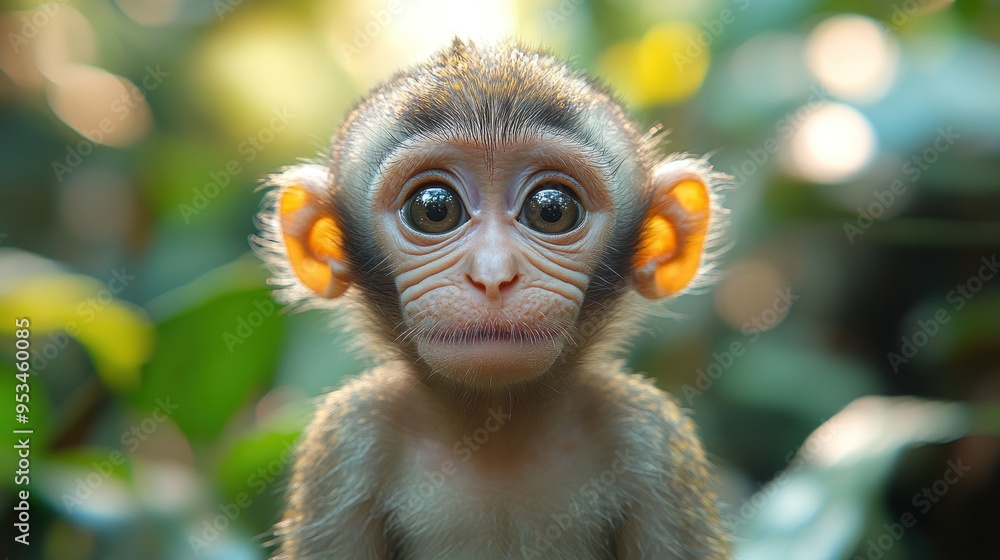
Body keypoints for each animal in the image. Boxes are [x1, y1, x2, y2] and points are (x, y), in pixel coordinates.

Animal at [255, 39, 730, 559]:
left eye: (551, 210)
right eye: (435, 209)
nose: (493, 276)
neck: (496, 428)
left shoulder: (652, 437)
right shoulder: (346, 438)